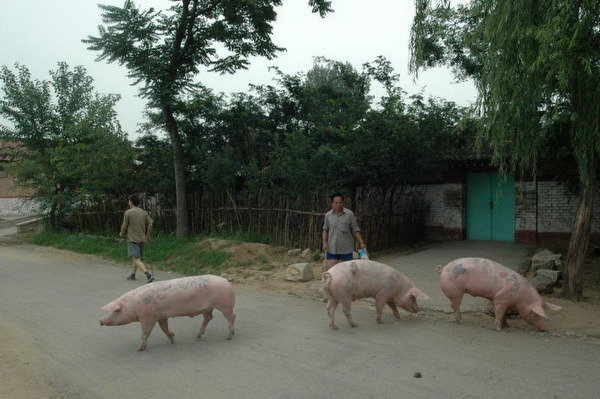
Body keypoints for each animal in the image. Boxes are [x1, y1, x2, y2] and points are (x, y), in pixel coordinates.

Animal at [99, 276, 236, 352]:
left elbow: (145, 332)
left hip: (225, 304)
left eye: (115, 311)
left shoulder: (148, 317)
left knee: (231, 317)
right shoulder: (161, 316)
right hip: (208, 307)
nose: (100, 321)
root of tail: (227, 281)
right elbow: (164, 328)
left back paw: (229, 336)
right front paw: (172, 338)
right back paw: (197, 336)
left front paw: (139, 349)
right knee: (209, 317)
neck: (132, 305)